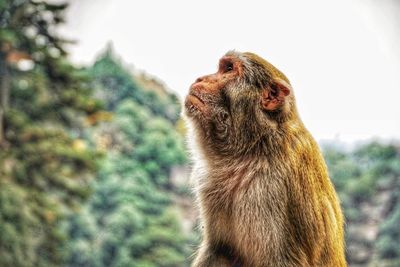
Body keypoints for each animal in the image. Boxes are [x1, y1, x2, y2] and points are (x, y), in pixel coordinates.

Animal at [184, 51, 346, 267]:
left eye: (229, 69)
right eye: (222, 67)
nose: (200, 78)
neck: (255, 146)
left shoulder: (271, 190)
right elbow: (220, 250)